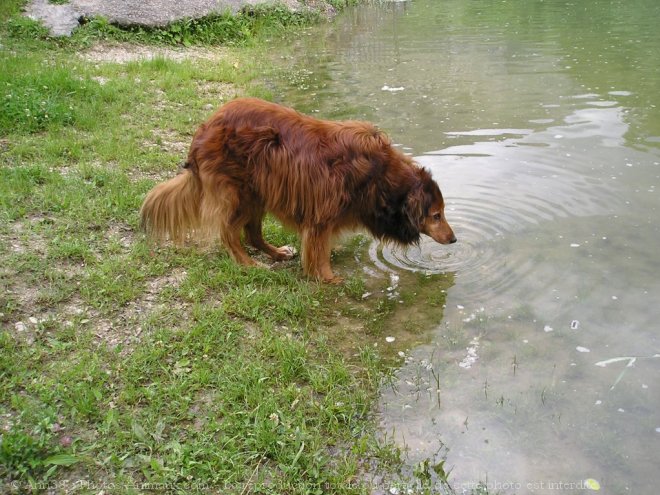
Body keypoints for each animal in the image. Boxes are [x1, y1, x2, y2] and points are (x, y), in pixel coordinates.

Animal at [141, 99, 454, 282]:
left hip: (259, 193)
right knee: (229, 234)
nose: (453, 240)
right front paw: (328, 278)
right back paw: (248, 264)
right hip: (238, 195)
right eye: (436, 215)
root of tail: (202, 132)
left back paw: (278, 253)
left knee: (253, 234)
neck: (380, 173)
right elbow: (319, 251)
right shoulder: (322, 215)